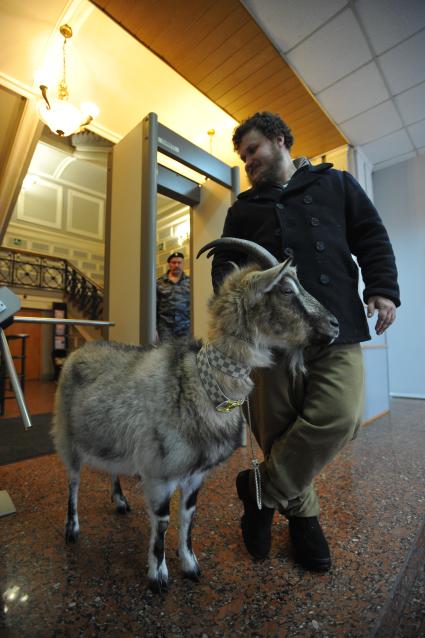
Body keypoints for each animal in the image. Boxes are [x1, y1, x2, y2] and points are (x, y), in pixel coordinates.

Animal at [52, 238, 338, 592]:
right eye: (286, 289)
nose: (335, 324)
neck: (198, 383)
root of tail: (78, 350)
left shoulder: (195, 474)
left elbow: (189, 516)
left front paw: (190, 565)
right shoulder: (159, 472)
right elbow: (162, 521)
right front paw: (159, 575)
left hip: (108, 435)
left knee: (111, 468)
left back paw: (120, 502)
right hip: (66, 435)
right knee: (73, 480)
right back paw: (72, 530)